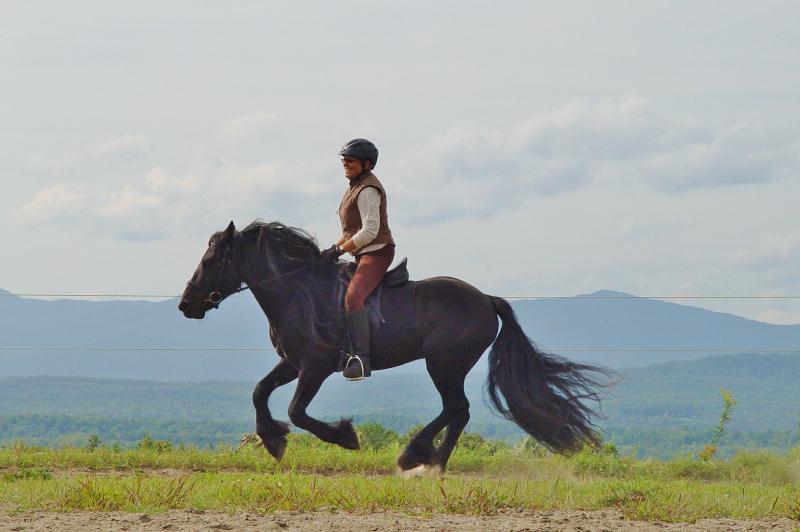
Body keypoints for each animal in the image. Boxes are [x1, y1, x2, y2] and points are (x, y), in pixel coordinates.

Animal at [180, 220, 608, 474]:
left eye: (211, 259)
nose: (186, 305)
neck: (297, 291)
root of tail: (486, 300)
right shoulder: (292, 363)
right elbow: (259, 393)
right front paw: (272, 439)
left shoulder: (315, 367)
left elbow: (296, 411)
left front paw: (344, 436)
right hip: (447, 366)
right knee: (459, 411)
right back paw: (432, 462)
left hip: (444, 363)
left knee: (457, 407)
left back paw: (418, 458)